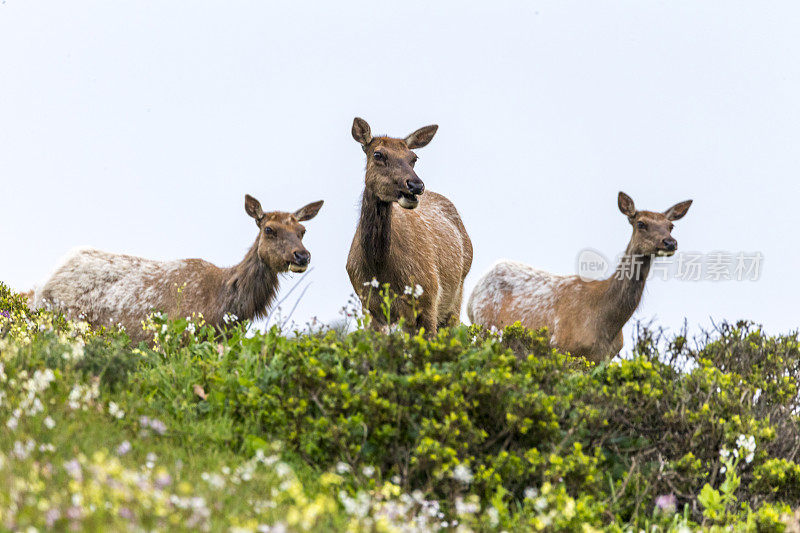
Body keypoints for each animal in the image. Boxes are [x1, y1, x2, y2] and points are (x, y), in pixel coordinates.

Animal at [346, 117, 472, 332]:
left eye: (414, 158)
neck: (380, 270)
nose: (415, 185)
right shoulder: (369, 307)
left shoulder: (429, 298)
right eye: (378, 154)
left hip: (455, 298)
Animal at [466, 191, 692, 362]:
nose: (670, 242)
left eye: (671, 226)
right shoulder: (563, 347)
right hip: (485, 327)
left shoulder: (603, 358)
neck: (606, 321)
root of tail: (473, 294)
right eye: (641, 223)